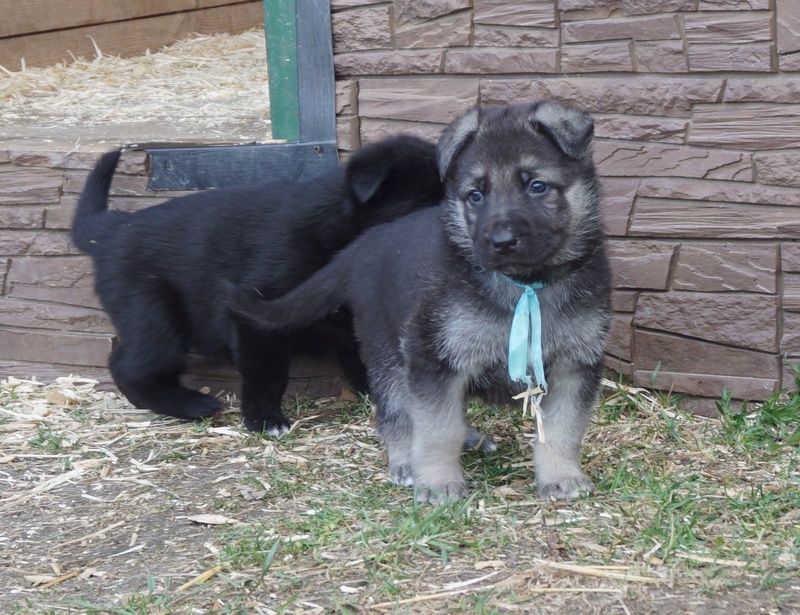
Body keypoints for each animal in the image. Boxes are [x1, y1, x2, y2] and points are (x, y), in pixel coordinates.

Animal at [71, 135, 440, 434]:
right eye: (424, 206)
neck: (337, 226)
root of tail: (111, 230)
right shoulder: (258, 312)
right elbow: (267, 373)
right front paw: (265, 420)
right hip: (152, 316)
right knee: (129, 365)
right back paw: (191, 405)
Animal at [227, 101, 612, 502]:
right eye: (476, 195)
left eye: (537, 186)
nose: (501, 242)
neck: (525, 285)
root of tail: (363, 244)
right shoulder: (434, 360)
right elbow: (437, 430)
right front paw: (438, 483)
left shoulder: (574, 366)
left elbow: (562, 431)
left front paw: (561, 476)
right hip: (387, 356)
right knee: (396, 414)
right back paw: (406, 461)